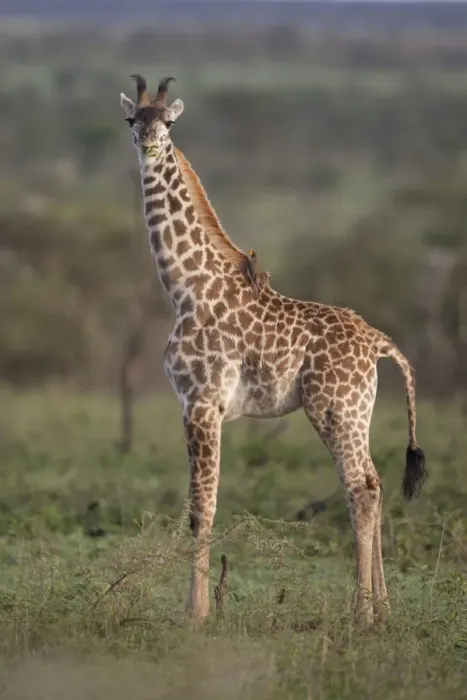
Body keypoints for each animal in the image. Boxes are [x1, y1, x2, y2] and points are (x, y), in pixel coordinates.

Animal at [119, 74, 427, 627]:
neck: (185, 288)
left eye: (169, 122)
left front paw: (195, 614)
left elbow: (201, 506)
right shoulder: (198, 405)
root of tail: (380, 343)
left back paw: (361, 613)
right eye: (133, 118)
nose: (148, 144)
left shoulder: (201, 402)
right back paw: (383, 609)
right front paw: (198, 608)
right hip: (357, 412)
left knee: (361, 488)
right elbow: (198, 504)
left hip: (333, 410)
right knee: (373, 482)